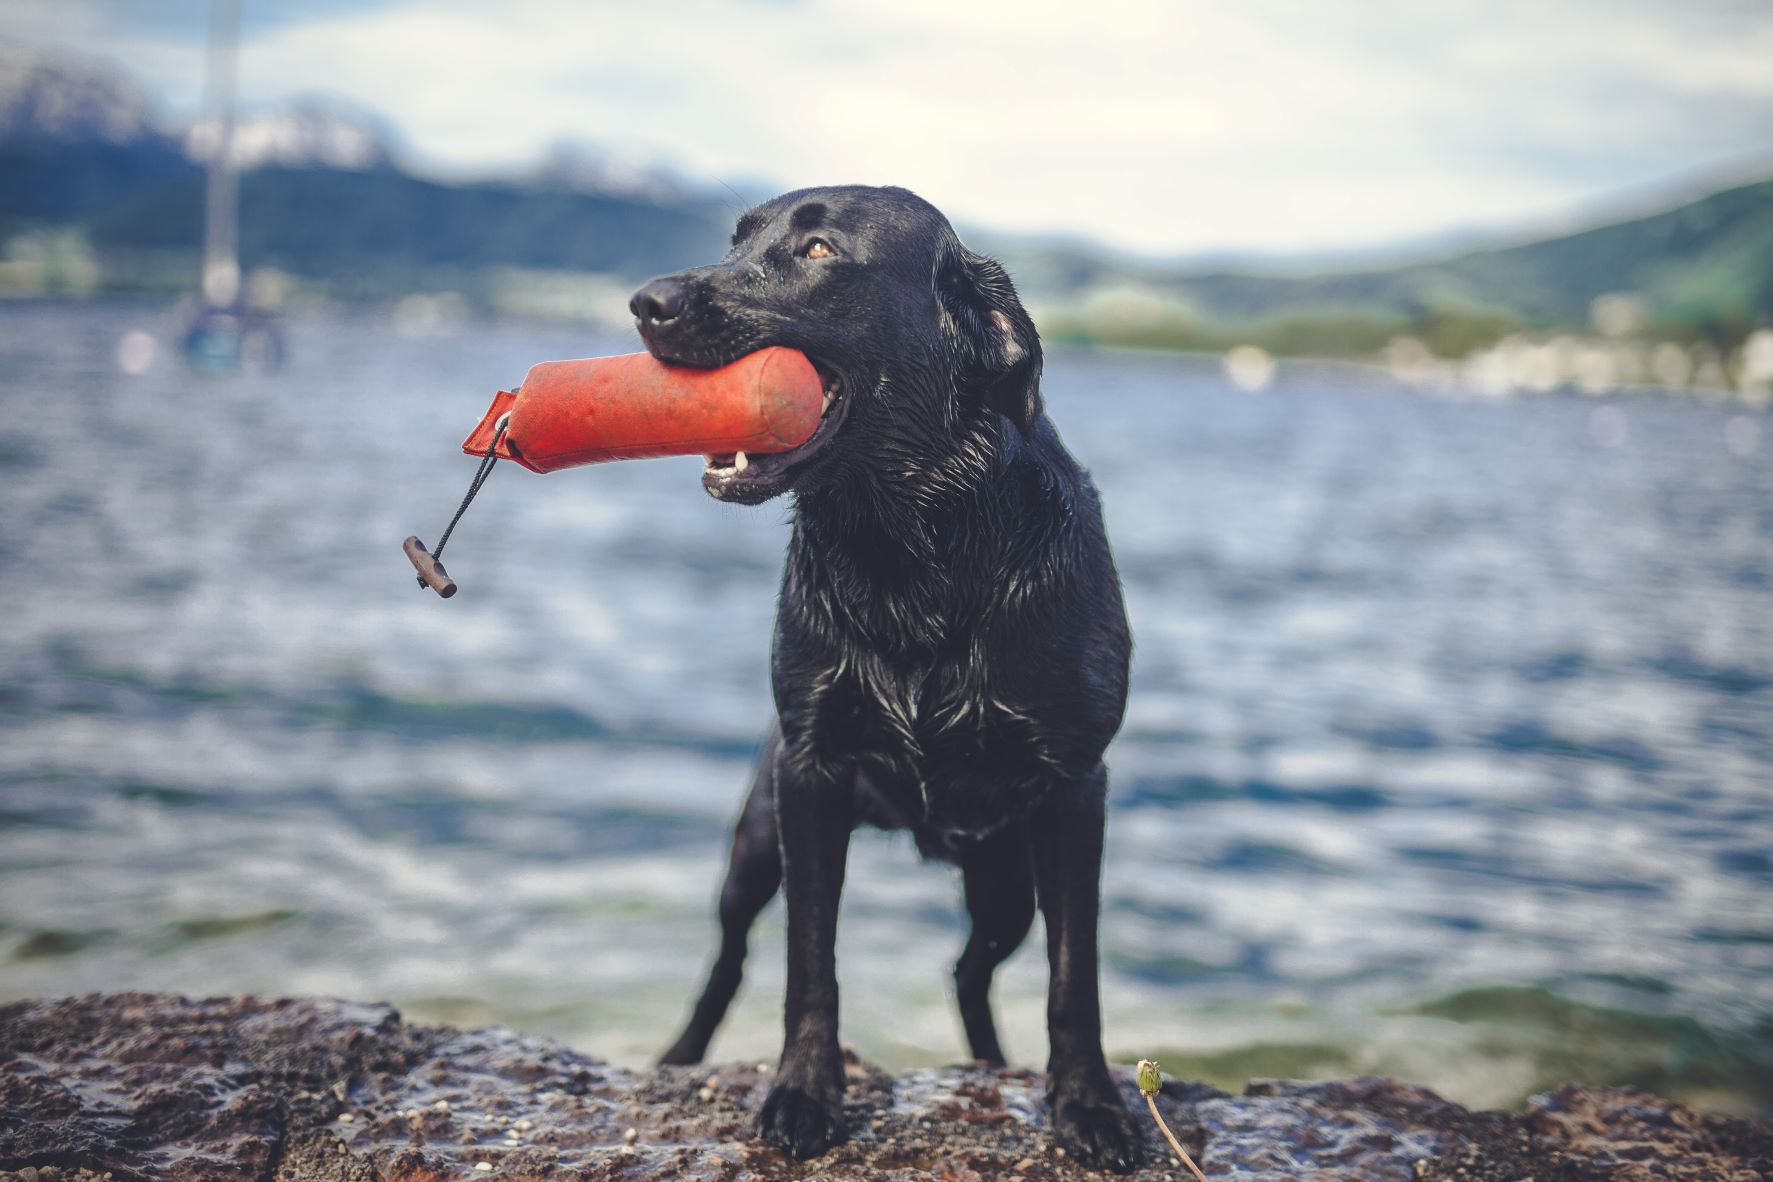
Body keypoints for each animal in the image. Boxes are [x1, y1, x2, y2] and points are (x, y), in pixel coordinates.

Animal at [631, 186, 1141, 1176]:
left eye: (819, 249)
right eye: (737, 240)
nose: (647, 303)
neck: (908, 550)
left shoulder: (1074, 789)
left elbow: (1076, 977)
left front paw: (1087, 1106)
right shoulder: (810, 777)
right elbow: (808, 960)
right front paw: (801, 1094)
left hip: (1004, 883)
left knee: (970, 972)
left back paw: (993, 1067)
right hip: (754, 842)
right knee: (729, 957)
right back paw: (680, 1054)